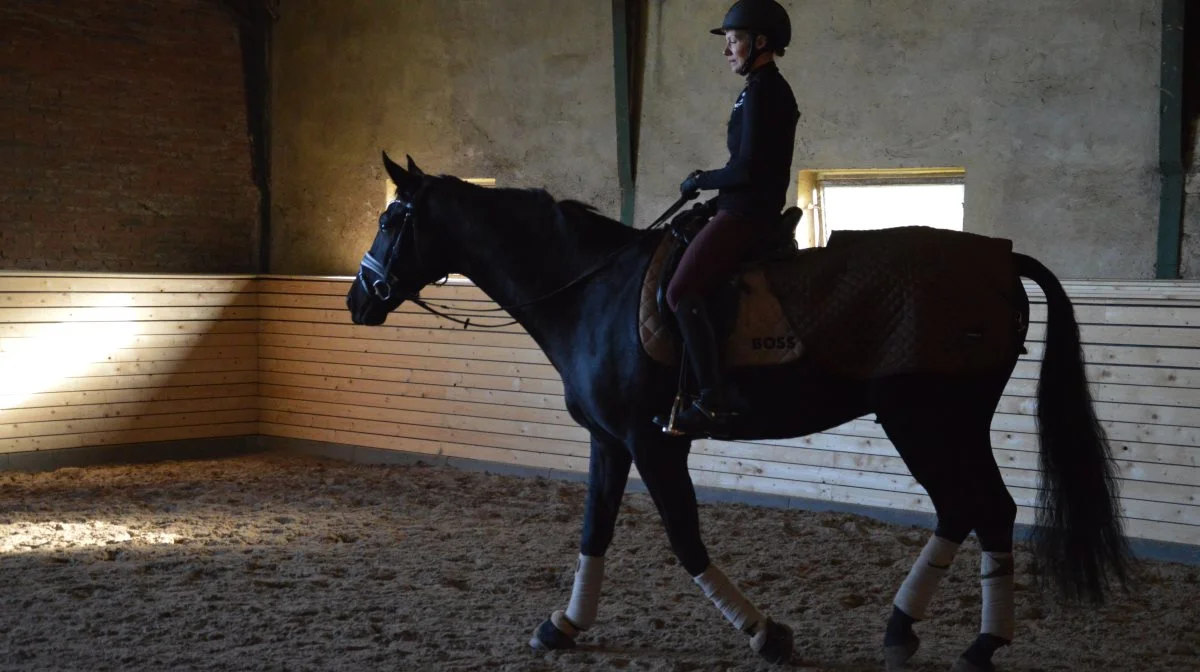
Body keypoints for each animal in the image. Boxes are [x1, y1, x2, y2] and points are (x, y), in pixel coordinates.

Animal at [345, 153, 1132, 672]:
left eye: (390, 218)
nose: (358, 300)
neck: (592, 293)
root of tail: (999, 261)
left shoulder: (655, 442)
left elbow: (686, 539)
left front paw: (765, 634)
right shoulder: (610, 441)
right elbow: (595, 530)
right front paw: (564, 625)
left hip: (927, 420)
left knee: (980, 508)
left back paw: (978, 641)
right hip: (948, 424)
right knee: (973, 510)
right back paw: (910, 630)